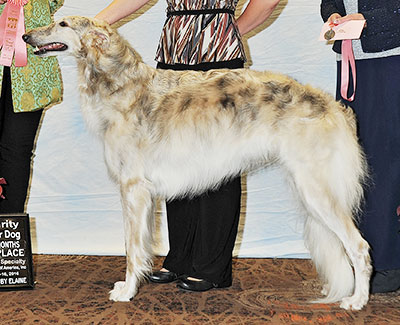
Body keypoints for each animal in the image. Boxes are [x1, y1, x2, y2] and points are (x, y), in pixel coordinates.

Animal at [21, 15, 372, 308]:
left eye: (62, 23)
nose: (25, 36)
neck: (123, 85)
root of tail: (333, 106)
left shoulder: (133, 188)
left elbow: (132, 248)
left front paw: (126, 291)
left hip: (317, 190)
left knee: (359, 247)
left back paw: (357, 301)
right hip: (310, 190)